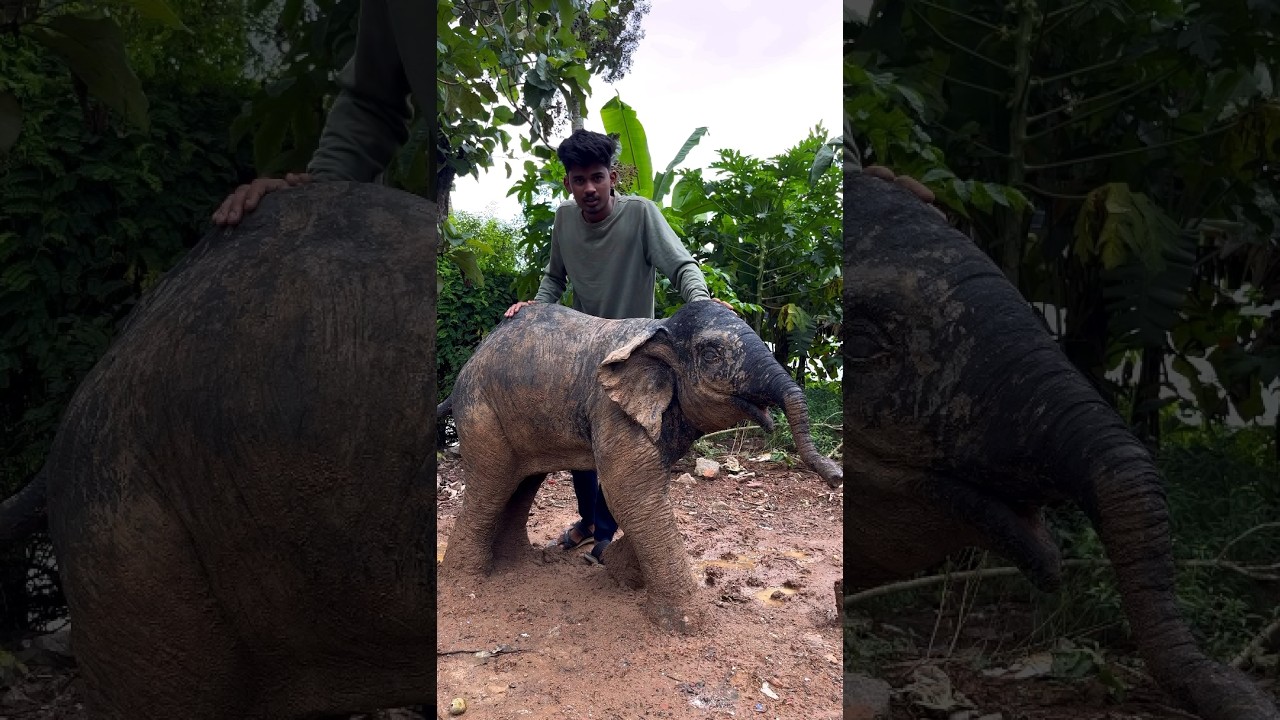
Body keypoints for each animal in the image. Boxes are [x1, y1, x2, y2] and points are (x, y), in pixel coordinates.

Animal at [436, 299, 843, 632]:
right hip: (480, 412)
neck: (659, 330)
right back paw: (467, 580)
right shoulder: (611, 408)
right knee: (492, 484)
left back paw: (520, 565)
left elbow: (644, 494)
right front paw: (689, 625)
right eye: (712, 354)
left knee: (522, 484)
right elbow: (630, 492)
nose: (836, 478)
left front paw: (620, 569)